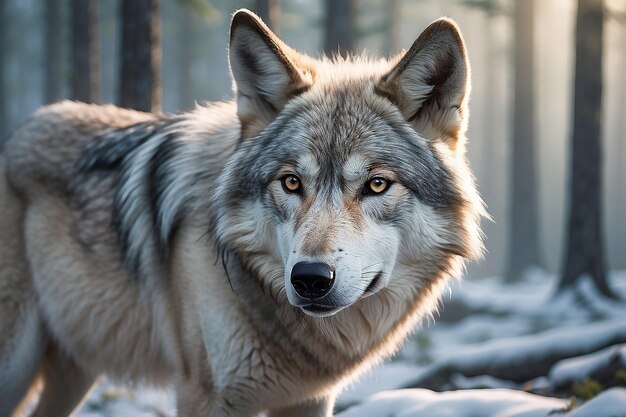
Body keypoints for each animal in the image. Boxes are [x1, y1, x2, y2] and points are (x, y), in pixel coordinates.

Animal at [0, 8, 482, 416]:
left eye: (377, 184)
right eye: (291, 182)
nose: (310, 279)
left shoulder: (311, 399)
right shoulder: (207, 395)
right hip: (18, 365)